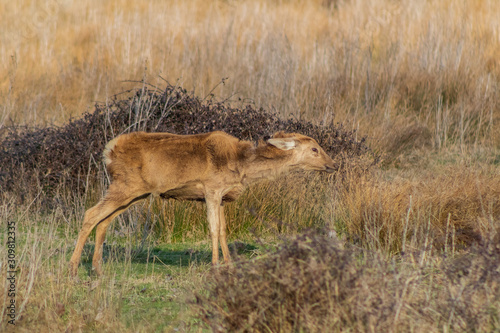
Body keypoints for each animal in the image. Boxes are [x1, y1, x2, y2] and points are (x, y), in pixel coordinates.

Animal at [69, 130, 336, 274]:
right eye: (314, 149)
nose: (333, 165)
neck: (242, 167)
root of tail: (108, 151)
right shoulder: (211, 189)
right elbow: (214, 229)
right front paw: (215, 264)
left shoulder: (222, 197)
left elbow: (225, 230)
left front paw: (228, 263)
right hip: (125, 185)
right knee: (90, 214)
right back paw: (73, 268)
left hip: (135, 193)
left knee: (104, 221)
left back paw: (97, 268)